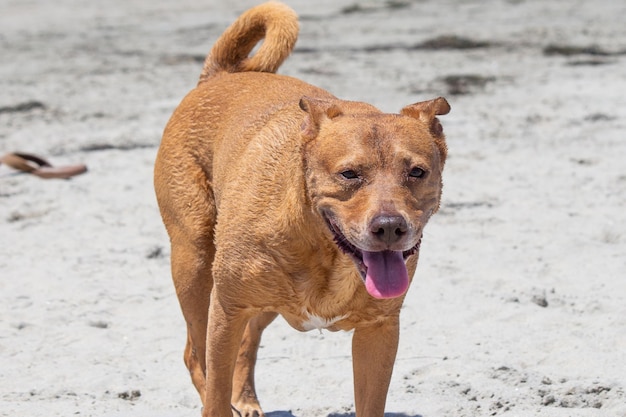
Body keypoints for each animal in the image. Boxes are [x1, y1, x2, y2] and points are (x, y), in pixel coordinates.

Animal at [155, 1, 448, 414]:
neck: (325, 253)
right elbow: (214, 392)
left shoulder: (378, 331)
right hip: (195, 266)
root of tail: (221, 75)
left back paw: (245, 399)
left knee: (246, 343)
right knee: (196, 355)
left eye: (417, 172)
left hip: (260, 302)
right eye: (348, 174)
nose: (390, 226)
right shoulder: (226, 310)